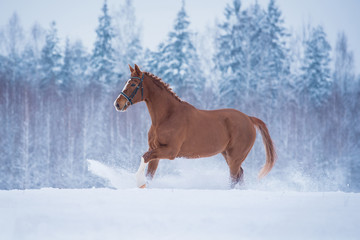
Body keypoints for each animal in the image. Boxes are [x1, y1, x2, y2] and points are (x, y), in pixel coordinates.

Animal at [114, 64, 278, 188]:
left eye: (133, 84)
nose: (118, 104)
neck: (167, 116)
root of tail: (249, 118)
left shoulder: (170, 151)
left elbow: (144, 157)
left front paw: (139, 182)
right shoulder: (155, 150)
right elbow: (149, 173)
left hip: (235, 157)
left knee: (234, 177)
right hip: (227, 155)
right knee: (239, 176)